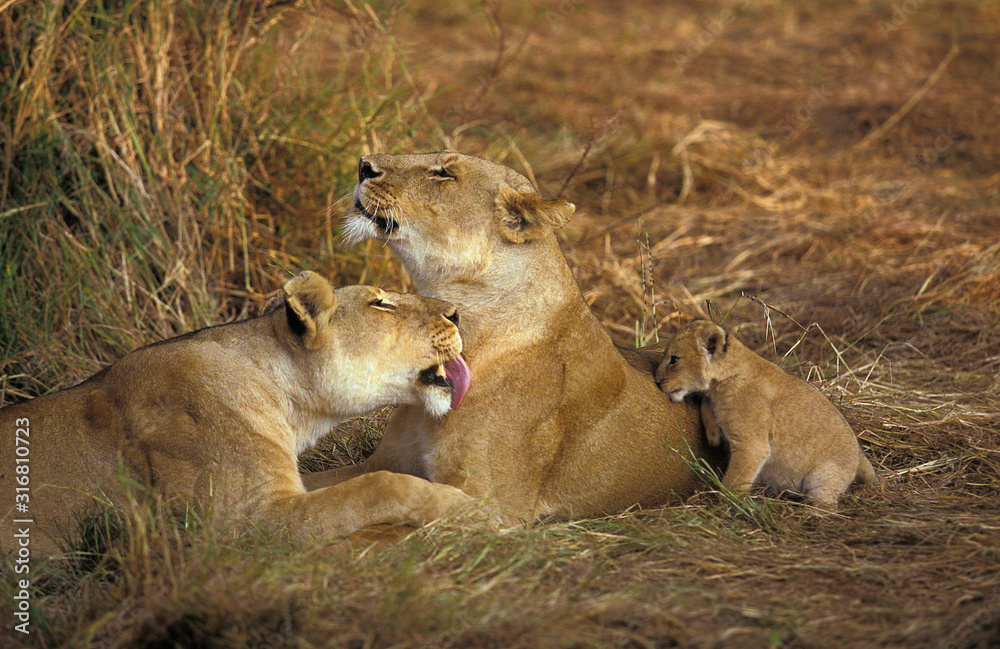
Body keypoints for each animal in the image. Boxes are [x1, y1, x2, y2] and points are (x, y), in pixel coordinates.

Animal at [1, 271, 474, 556]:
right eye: (381, 304)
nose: (456, 312)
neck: (288, 404)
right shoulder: (243, 522)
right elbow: (377, 486)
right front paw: (460, 504)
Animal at [655, 320, 878, 509]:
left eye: (674, 359)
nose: (656, 381)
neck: (726, 379)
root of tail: (860, 455)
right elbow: (706, 404)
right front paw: (712, 435)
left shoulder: (752, 446)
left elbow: (734, 480)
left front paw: (725, 506)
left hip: (824, 477)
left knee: (826, 505)